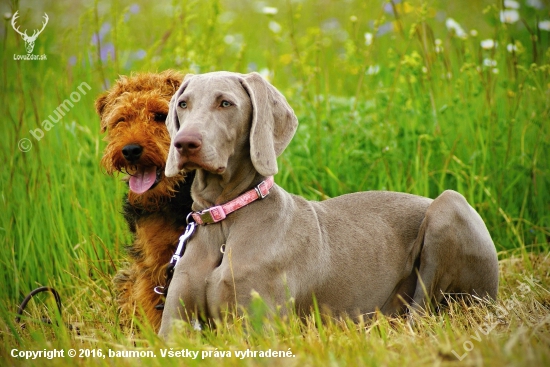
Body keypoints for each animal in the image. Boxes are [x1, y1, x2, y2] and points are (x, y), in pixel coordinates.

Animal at [158, 70, 500, 338]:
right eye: (183, 104)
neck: (226, 217)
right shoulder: (171, 331)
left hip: (449, 206)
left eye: (225, 103)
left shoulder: (260, 329)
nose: (185, 143)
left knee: (422, 314)